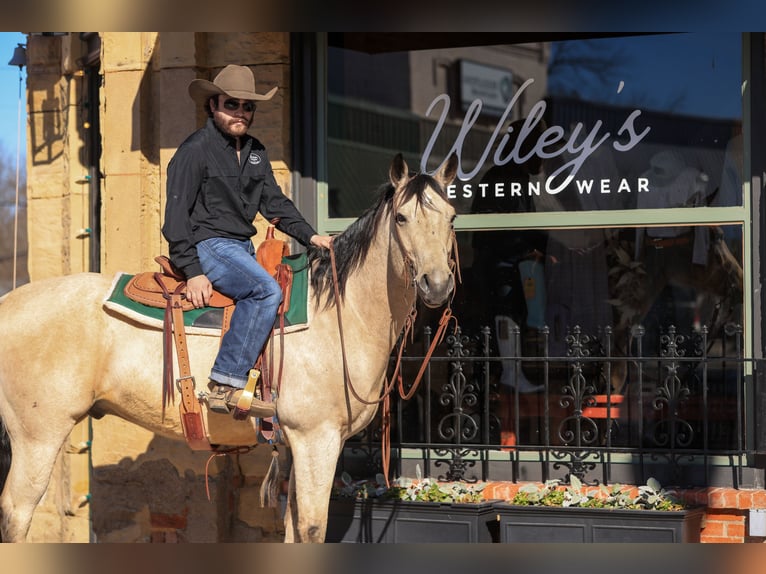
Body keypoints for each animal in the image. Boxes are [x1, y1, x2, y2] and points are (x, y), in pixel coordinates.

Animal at [0, 153, 462, 544]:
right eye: (401, 217)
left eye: (453, 217)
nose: (437, 285)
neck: (339, 313)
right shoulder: (317, 439)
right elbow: (313, 528)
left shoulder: (296, 445)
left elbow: (293, 527)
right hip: (38, 437)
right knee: (17, 513)